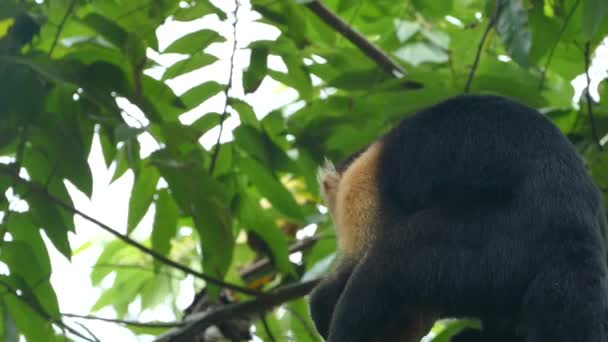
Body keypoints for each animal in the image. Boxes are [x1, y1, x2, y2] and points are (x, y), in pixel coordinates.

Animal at [308, 94, 608, 342]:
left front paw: (325, 300)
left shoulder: (361, 185)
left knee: (386, 265)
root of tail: (574, 230)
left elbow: (360, 259)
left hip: (496, 244)